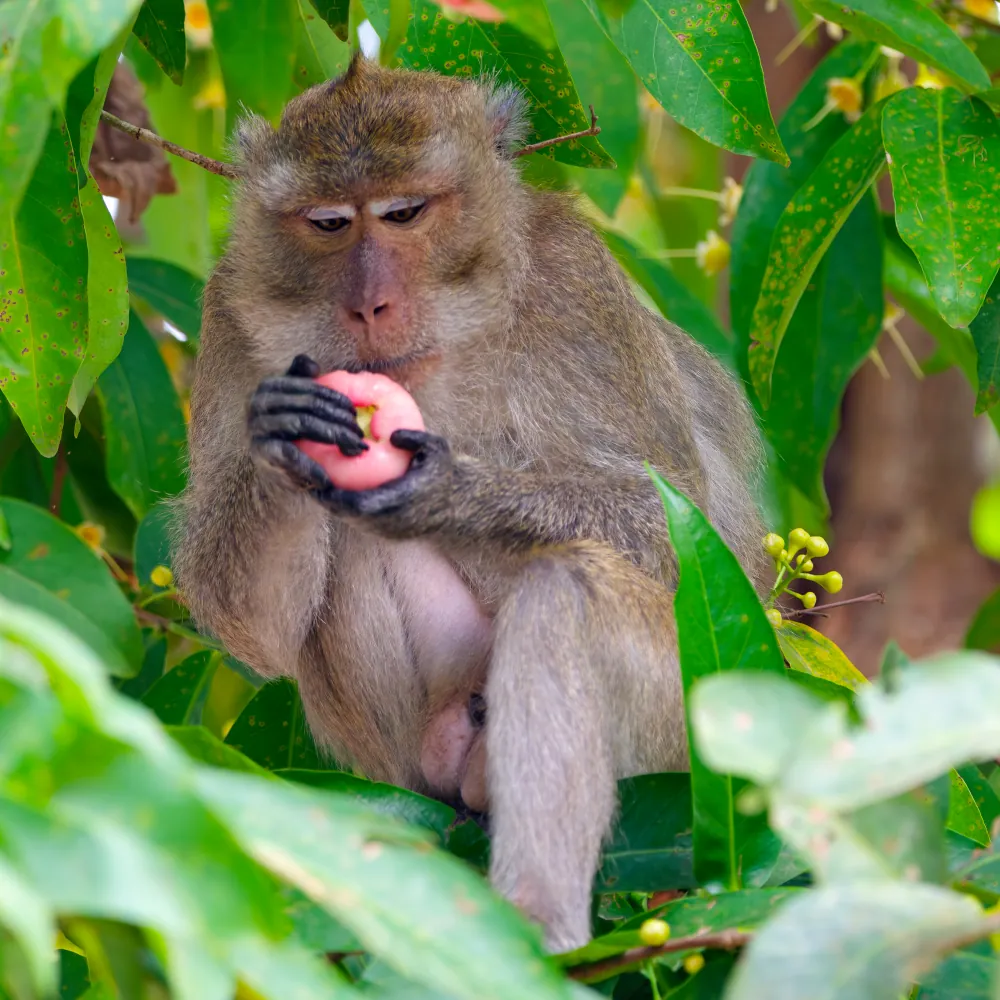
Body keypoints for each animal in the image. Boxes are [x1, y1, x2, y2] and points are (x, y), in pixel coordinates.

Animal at [174, 55, 769, 952]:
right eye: (328, 223)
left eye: (404, 213)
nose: (369, 303)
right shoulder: (230, 312)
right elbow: (244, 615)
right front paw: (282, 435)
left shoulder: (574, 284)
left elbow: (671, 521)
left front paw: (458, 492)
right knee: (352, 545)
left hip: (702, 728)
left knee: (570, 591)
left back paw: (538, 924)